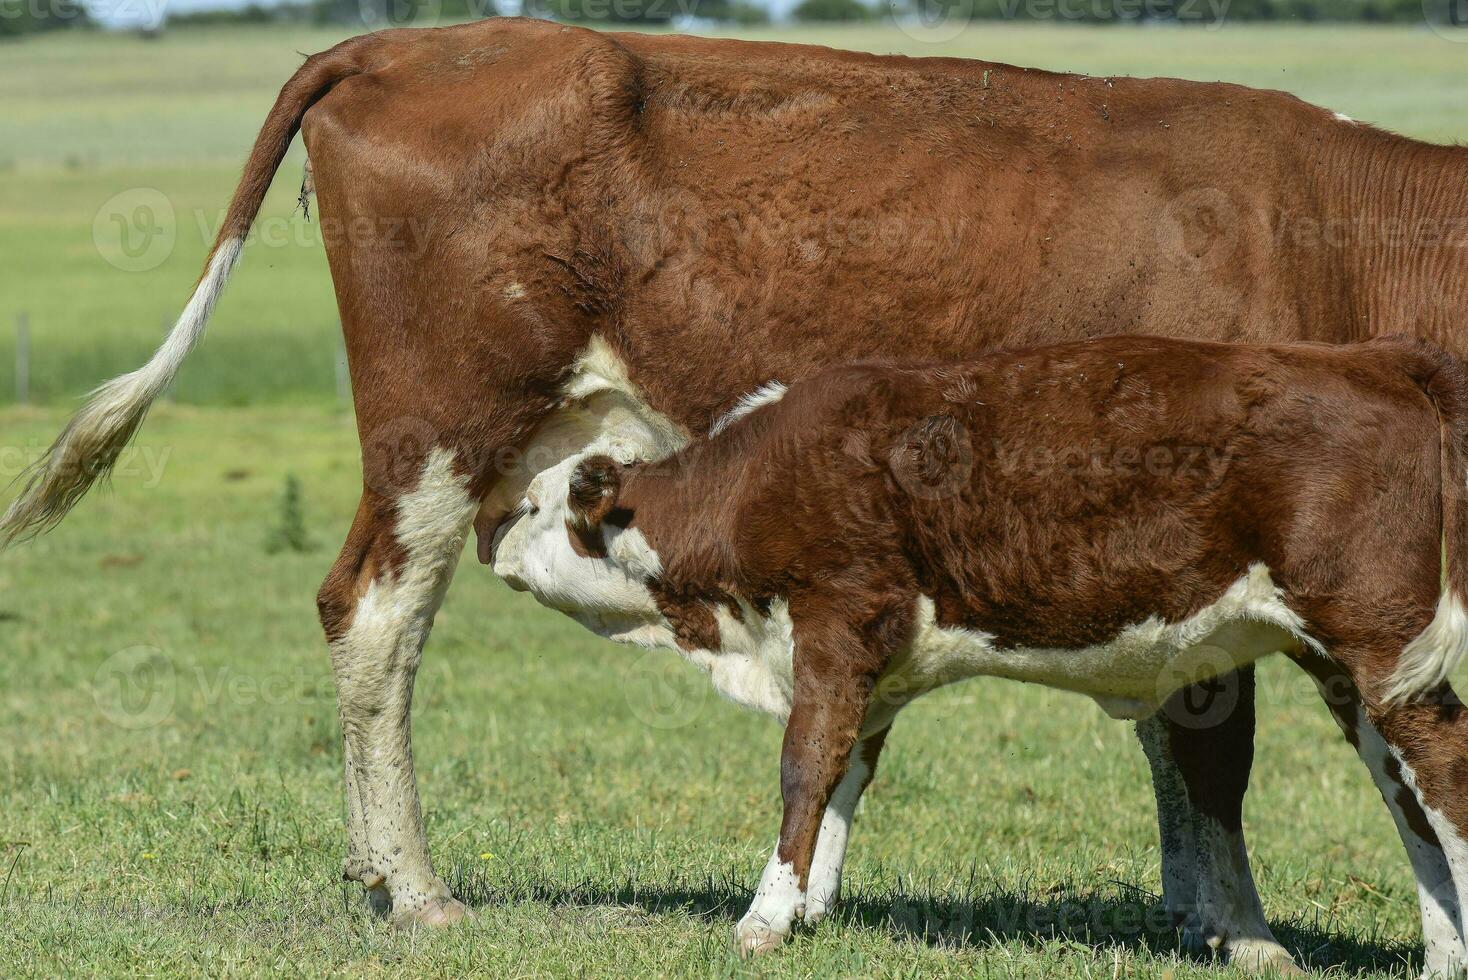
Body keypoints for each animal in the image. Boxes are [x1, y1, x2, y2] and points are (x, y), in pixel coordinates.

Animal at [499, 334, 1468, 962]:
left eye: (535, 505)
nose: (489, 537)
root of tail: (1372, 357)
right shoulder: (876, 659)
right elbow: (847, 769)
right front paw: (810, 908)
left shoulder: (836, 616)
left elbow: (805, 766)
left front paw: (765, 919)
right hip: (1346, 660)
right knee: (1407, 797)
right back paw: (1442, 954)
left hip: (1379, 637)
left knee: (1443, 770)